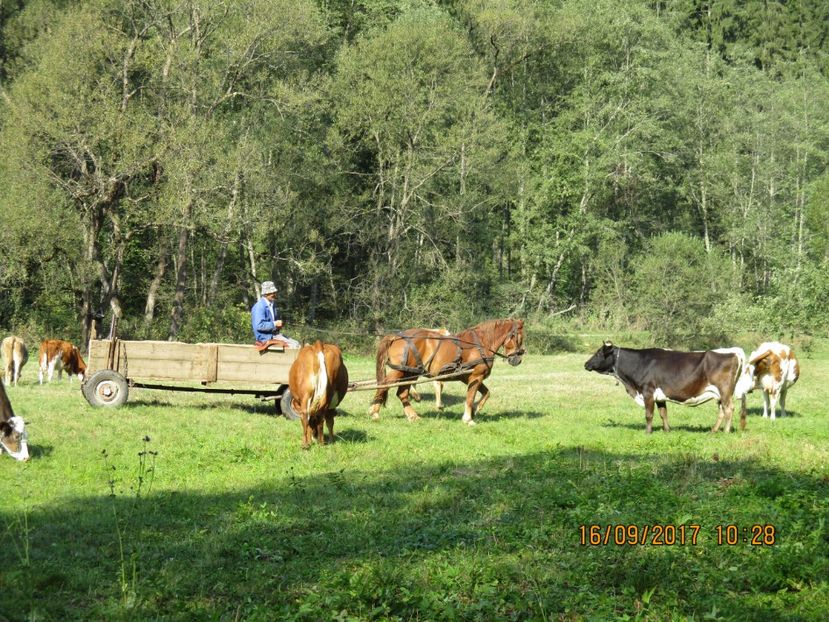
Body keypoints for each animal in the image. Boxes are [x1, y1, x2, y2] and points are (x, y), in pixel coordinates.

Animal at [368, 320, 524, 426]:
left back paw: (413, 416)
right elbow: (470, 397)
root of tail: (395, 337)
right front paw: (468, 419)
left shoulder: (469, 377)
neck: (480, 344)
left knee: (402, 393)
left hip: (409, 373)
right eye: (519, 337)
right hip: (400, 371)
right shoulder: (476, 376)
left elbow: (486, 393)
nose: (517, 359)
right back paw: (374, 412)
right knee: (383, 384)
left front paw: (475, 409)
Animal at [584, 342, 752, 434]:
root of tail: (734, 351)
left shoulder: (648, 392)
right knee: (722, 411)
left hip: (724, 391)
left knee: (729, 409)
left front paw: (648, 432)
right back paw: (714, 430)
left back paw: (726, 431)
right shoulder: (660, 396)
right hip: (720, 394)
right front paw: (667, 430)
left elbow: (649, 415)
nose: (586, 364)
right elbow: (663, 413)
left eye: (598, 353)